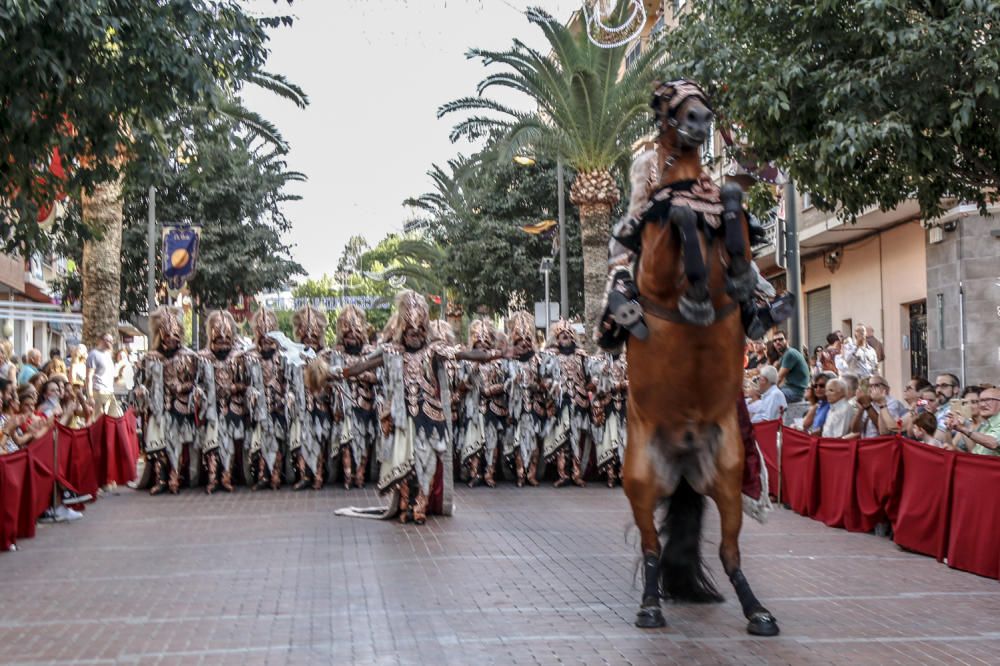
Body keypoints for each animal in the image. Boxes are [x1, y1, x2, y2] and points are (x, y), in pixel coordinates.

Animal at [624, 80, 780, 636]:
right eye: (669, 99)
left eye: (702, 95)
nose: (700, 118)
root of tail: (686, 456)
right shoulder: (652, 264)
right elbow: (679, 216)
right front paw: (695, 289)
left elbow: (732, 205)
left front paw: (736, 271)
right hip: (641, 482)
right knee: (651, 547)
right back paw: (650, 606)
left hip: (729, 480)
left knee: (730, 552)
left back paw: (758, 611)